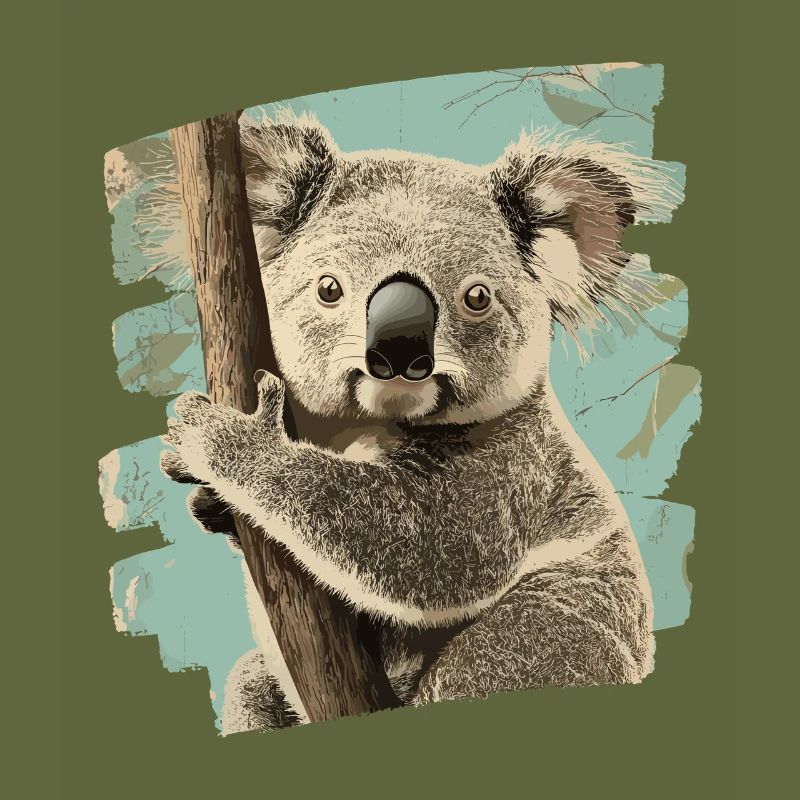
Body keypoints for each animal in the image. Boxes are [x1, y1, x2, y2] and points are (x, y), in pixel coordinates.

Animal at [160, 113, 680, 731]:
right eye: (329, 288)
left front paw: (228, 439)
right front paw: (201, 492)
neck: (361, 427)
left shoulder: (513, 465)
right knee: (250, 682)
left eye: (477, 297)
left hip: (549, 641)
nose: (399, 349)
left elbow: (427, 547)